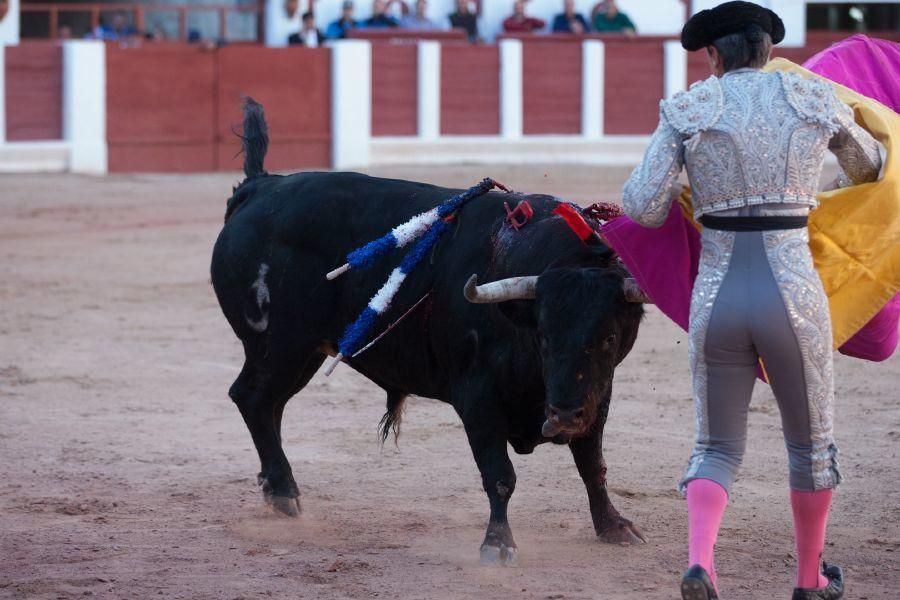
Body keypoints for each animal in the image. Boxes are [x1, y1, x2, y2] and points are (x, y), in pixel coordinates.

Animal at [211, 101, 648, 564]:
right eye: (543, 336)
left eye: (609, 338)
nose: (562, 417)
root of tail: (261, 187)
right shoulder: (477, 395)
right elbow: (500, 475)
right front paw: (498, 543)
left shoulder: (596, 394)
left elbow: (592, 463)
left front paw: (614, 526)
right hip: (279, 347)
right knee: (253, 399)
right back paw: (283, 492)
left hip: (301, 353)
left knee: (269, 405)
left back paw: (275, 487)